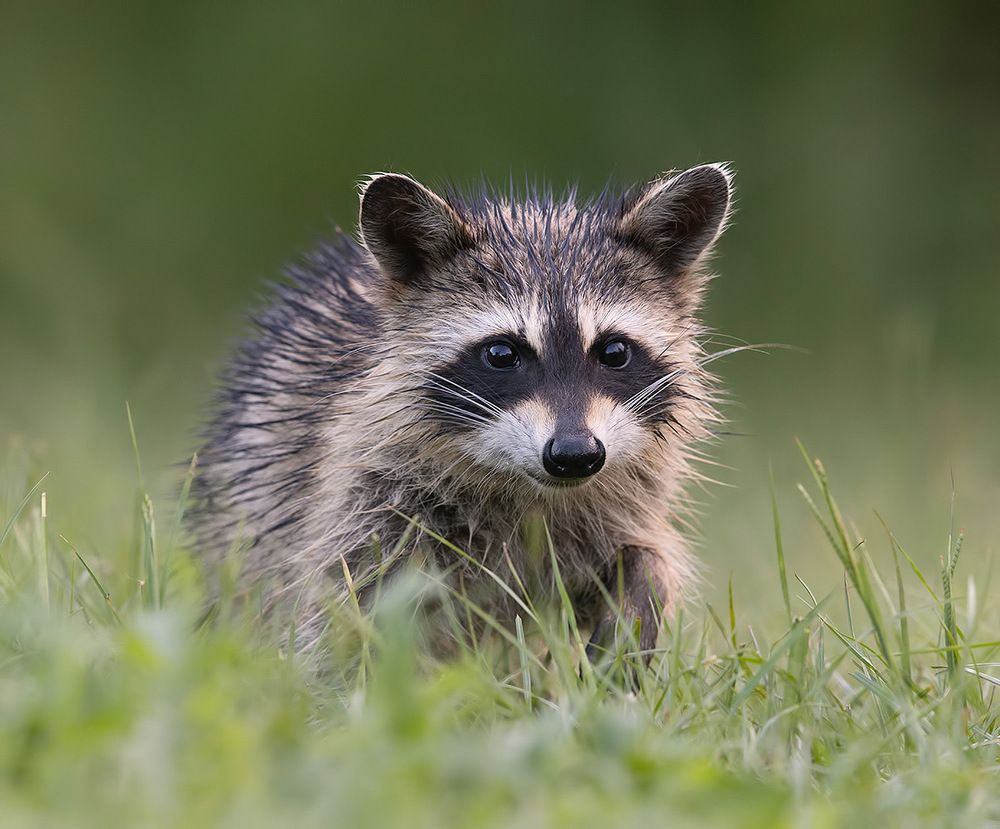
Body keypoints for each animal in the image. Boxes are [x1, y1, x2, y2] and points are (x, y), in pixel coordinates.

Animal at [190, 164, 733, 654]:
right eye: (501, 354)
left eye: (615, 351)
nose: (574, 455)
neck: (529, 488)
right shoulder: (367, 489)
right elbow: (348, 605)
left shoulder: (623, 498)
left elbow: (646, 553)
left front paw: (638, 598)